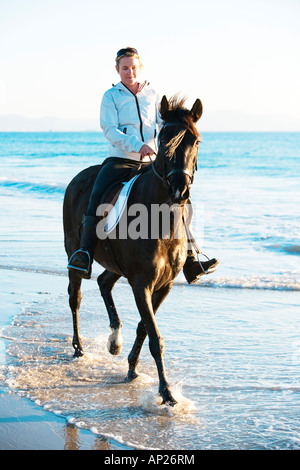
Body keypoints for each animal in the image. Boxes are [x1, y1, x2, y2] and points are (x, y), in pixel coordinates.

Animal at [63, 95, 204, 404]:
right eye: (163, 139)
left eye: (196, 140)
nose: (180, 190)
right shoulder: (141, 283)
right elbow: (154, 337)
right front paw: (166, 393)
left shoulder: (163, 285)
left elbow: (144, 327)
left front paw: (131, 368)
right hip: (74, 253)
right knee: (75, 297)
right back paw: (78, 348)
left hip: (116, 265)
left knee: (104, 282)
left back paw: (114, 340)